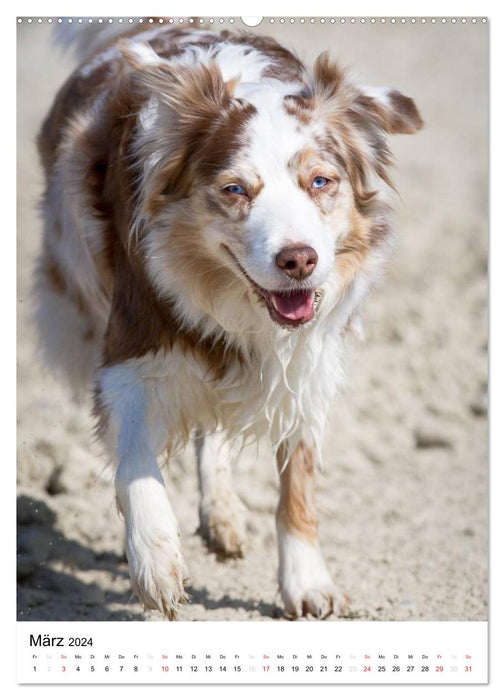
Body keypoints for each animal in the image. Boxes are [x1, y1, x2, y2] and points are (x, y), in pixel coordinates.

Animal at [33, 24, 424, 620]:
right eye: (235, 189)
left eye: (321, 181)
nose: (299, 259)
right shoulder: (131, 350)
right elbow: (136, 460)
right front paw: (156, 560)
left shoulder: (308, 361)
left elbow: (298, 479)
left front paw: (307, 582)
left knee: (212, 427)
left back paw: (222, 515)